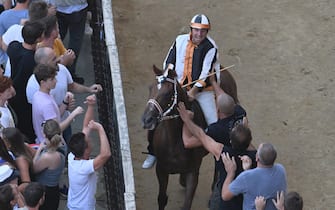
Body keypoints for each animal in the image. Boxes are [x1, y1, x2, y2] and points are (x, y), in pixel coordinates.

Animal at [142, 65, 210, 209]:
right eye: (150, 88)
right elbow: (162, 199)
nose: (147, 120)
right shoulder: (161, 169)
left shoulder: (193, 172)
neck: (175, 140)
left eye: (168, 93)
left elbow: (187, 204)